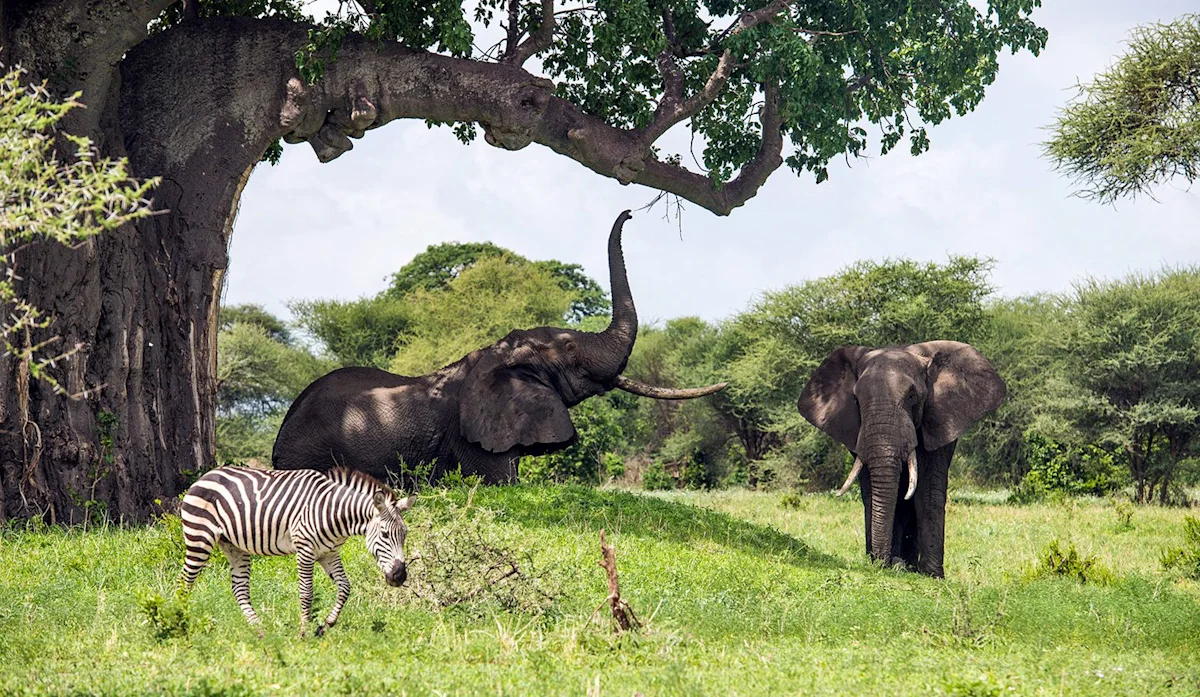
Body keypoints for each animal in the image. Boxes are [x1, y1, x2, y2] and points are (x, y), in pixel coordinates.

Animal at [178, 465, 414, 635]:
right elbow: (306, 593)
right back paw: (180, 622)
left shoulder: (329, 553)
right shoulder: (305, 551)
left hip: (234, 546)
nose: (399, 576)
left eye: (405, 534)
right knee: (185, 580)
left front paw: (325, 625)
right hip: (199, 537)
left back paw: (260, 630)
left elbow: (345, 588)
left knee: (239, 589)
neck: (332, 513)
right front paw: (303, 632)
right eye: (385, 534)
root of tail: (205, 476)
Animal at [797, 341, 1004, 577]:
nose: (888, 563)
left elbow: (928, 487)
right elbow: (873, 488)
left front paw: (932, 575)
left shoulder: (937, 418)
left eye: (912, 396)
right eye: (856, 401)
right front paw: (888, 563)